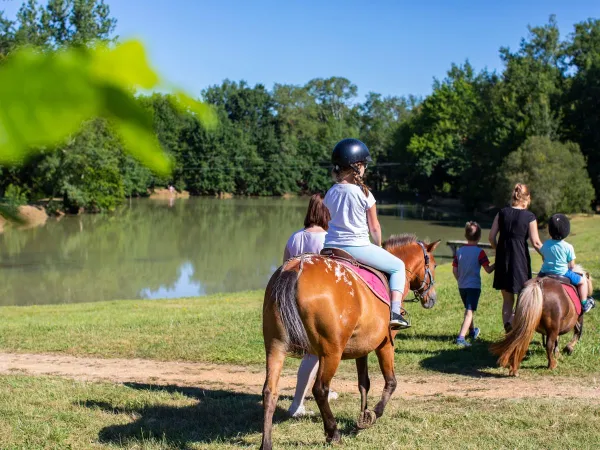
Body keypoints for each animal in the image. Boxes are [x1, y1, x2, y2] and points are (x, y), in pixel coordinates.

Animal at [260, 234, 438, 448]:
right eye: (434, 265)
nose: (432, 298)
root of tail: (296, 267)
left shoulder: (362, 348)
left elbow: (364, 384)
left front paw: (362, 417)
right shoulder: (385, 344)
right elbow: (391, 382)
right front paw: (372, 415)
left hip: (275, 346)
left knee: (269, 391)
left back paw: (266, 443)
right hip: (331, 352)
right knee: (320, 389)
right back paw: (333, 433)